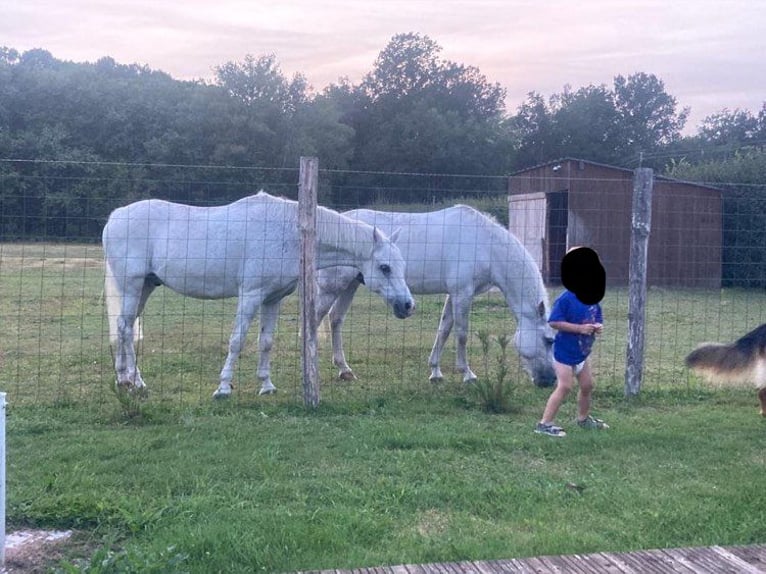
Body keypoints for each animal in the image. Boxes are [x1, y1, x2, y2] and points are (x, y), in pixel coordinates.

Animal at [103, 191, 415, 398]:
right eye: (384, 267)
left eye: (401, 265)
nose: (407, 305)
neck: (287, 233)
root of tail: (115, 216)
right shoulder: (250, 296)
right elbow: (237, 341)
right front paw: (223, 388)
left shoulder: (272, 299)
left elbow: (265, 342)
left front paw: (266, 385)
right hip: (131, 286)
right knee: (126, 329)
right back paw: (136, 382)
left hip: (145, 286)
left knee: (123, 328)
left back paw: (123, 379)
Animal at [316, 205, 557, 387]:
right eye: (549, 340)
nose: (550, 380)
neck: (485, 245)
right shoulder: (462, 293)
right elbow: (461, 334)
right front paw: (467, 374)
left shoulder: (455, 294)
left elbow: (444, 329)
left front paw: (435, 372)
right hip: (334, 286)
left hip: (351, 285)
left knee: (336, 319)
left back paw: (344, 370)